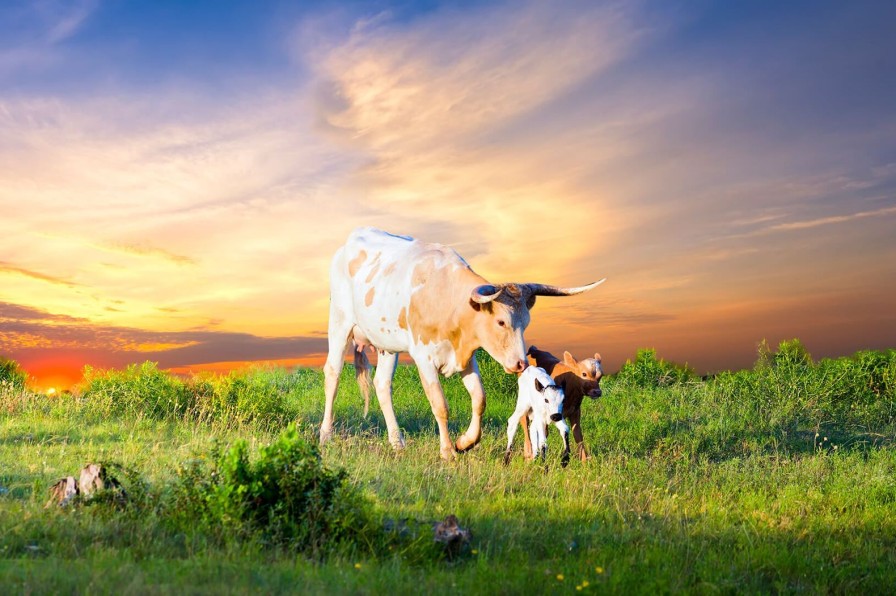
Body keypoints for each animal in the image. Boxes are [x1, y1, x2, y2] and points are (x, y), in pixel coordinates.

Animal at [318, 226, 604, 458]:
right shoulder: (424, 358)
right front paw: (447, 451)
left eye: (526, 322)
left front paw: (465, 442)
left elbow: (479, 399)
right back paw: (326, 434)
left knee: (382, 384)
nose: (521, 364)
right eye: (501, 322)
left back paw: (397, 441)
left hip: (386, 343)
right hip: (339, 323)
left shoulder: (468, 357)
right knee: (333, 374)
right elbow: (440, 405)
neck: (450, 302)